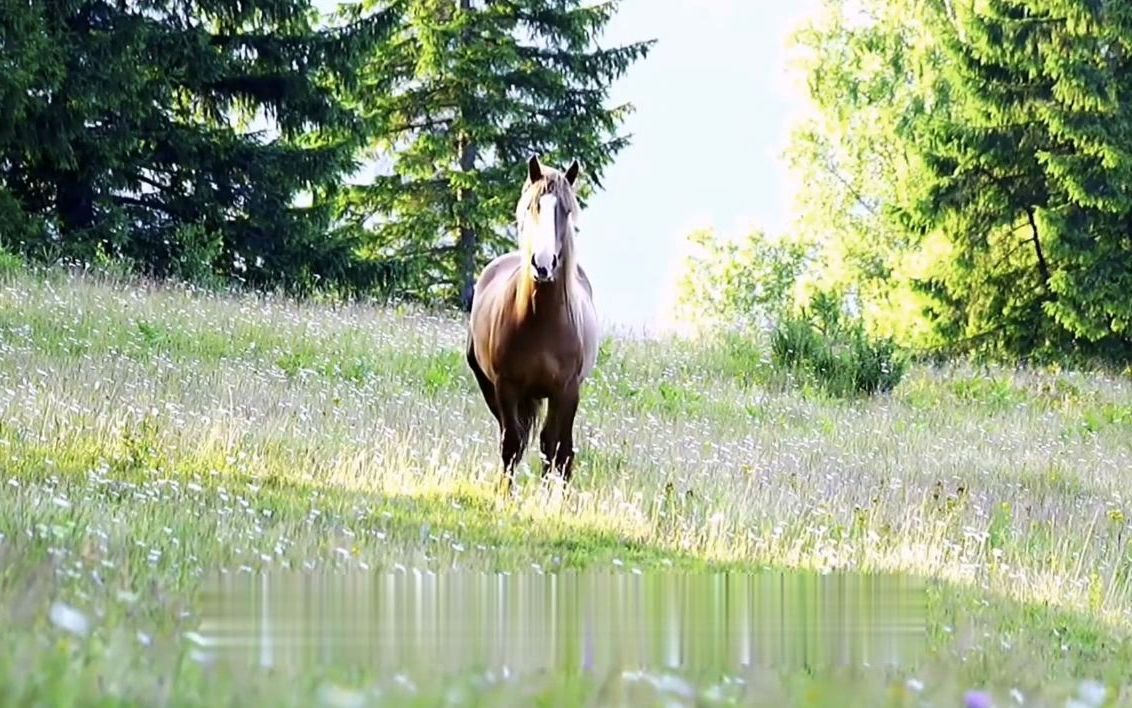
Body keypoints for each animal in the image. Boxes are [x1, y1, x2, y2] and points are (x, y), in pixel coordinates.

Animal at [464, 152, 602, 491]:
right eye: (532, 206)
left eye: (565, 210)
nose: (542, 264)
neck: (541, 321)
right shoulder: (506, 387)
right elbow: (511, 444)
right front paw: (505, 494)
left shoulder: (567, 391)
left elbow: (558, 449)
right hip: (492, 389)